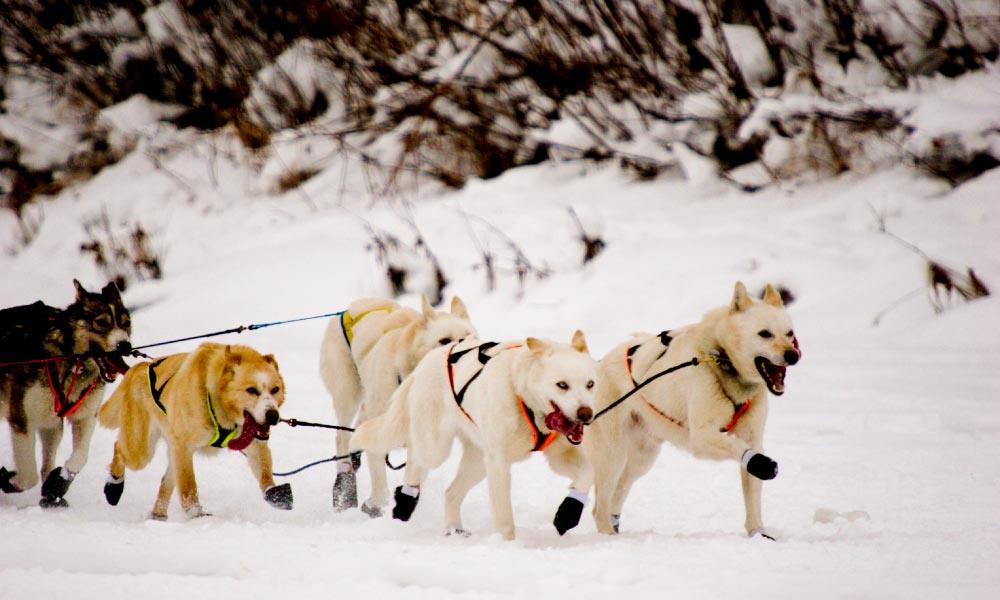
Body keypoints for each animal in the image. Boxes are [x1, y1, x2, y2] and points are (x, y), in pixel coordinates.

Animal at [98, 344, 292, 516]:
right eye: (251, 390)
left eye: (275, 389)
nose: (273, 415)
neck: (216, 400)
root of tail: (140, 368)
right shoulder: (183, 447)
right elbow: (188, 487)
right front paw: (196, 515)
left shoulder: (255, 444)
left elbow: (265, 472)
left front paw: (274, 492)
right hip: (141, 452)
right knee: (119, 448)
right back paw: (114, 485)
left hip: (171, 453)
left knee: (165, 482)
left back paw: (158, 515)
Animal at [320, 296, 476, 516]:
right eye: (445, 341)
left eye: (470, 337)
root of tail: (357, 305)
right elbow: (381, 487)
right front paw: (375, 505)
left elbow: (413, 478)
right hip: (347, 395)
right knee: (342, 436)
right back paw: (345, 482)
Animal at [352, 330, 596, 540]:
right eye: (562, 385)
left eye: (590, 384)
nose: (586, 414)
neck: (523, 398)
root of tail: (423, 365)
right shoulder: (498, 464)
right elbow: (505, 518)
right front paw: (508, 545)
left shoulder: (558, 457)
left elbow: (587, 473)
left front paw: (569, 512)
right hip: (436, 449)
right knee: (414, 459)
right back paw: (404, 503)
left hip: (477, 462)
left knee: (450, 492)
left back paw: (454, 529)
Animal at [564, 282, 804, 540]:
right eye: (765, 333)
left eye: (789, 333)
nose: (793, 355)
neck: (722, 360)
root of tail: (597, 367)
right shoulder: (701, 437)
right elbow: (740, 449)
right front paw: (761, 464)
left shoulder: (753, 438)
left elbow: (752, 496)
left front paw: (758, 533)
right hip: (613, 454)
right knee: (600, 506)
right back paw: (607, 534)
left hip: (641, 459)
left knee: (617, 494)